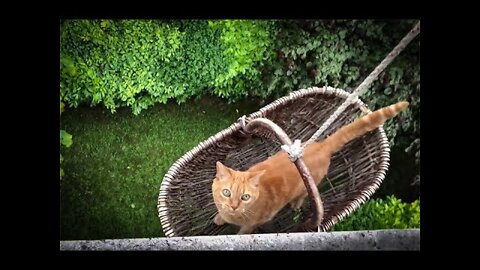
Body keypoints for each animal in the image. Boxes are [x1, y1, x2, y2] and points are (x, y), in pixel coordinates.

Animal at [211, 101, 408, 234]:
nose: (233, 206)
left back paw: (296, 204)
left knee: (302, 195)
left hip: (306, 186)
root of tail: (322, 145)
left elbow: (244, 231)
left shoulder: (254, 223)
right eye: (226, 192)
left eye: (245, 197)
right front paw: (219, 218)